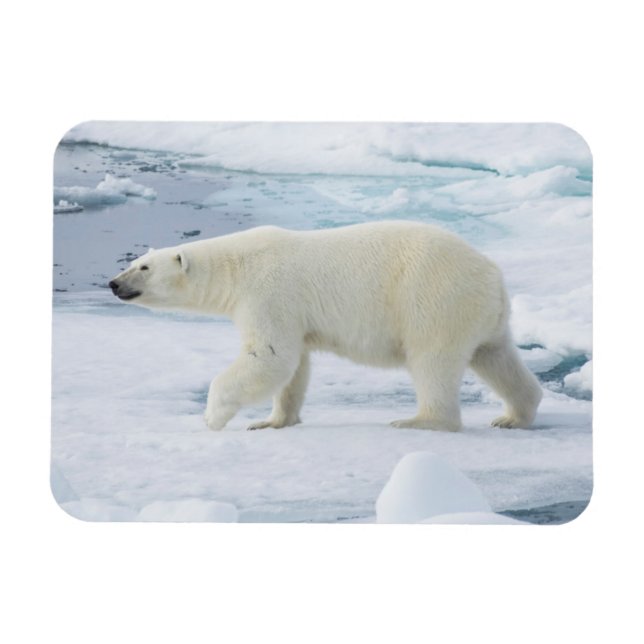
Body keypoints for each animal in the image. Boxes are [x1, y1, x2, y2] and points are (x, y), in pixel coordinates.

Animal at [108, 221, 542, 432]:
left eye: (143, 267)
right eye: (133, 262)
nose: (113, 283)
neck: (235, 266)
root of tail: (492, 274)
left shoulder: (269, 292)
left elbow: (270, 356)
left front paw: (213, 418)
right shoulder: (291, 312)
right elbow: (294, 367)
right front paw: (271, 421)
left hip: (433, 298)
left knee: (431, 361)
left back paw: (420, 420)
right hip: (482, 314)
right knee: (496, 357)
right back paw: (513, 415)